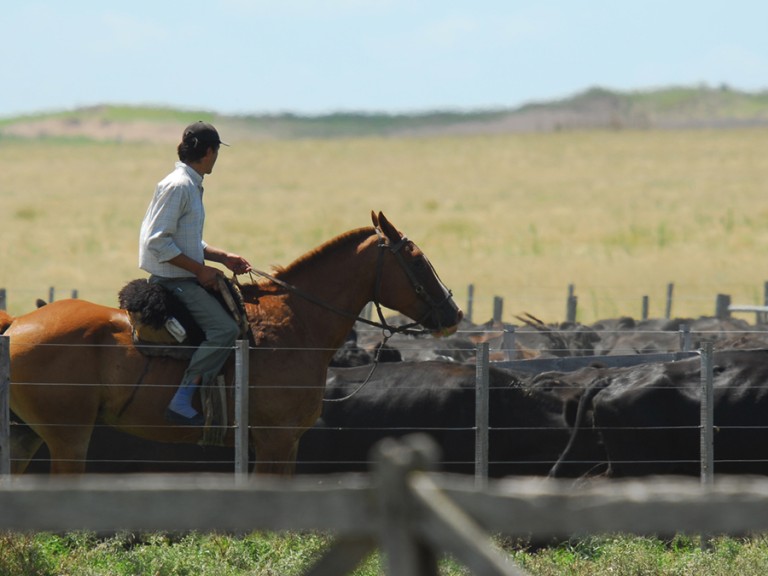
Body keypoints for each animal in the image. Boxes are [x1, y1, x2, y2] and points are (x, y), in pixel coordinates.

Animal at [6, 214, 462, 474]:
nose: (453, 314)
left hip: (25, 436)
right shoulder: (277, 441)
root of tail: (16, 324)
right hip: (68, 438)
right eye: (416, 258)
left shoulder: (283, 445)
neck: (296, 322)